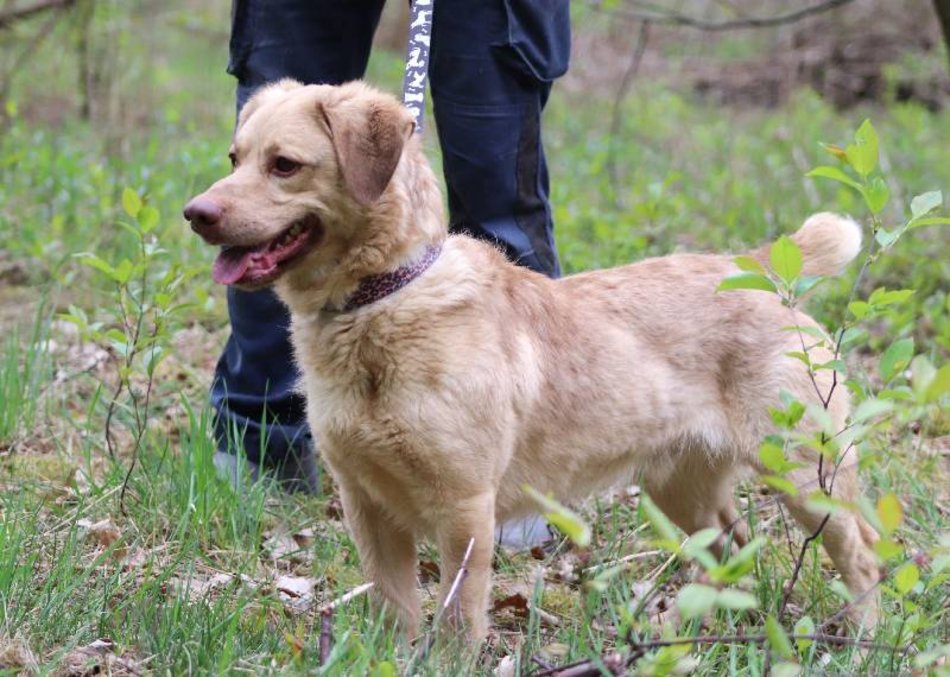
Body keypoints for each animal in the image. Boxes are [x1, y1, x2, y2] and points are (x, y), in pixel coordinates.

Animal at [188, 79, 884, 640]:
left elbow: (457, 620)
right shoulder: (366, 504)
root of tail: (763, 271)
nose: (196, 214)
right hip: (680, 489)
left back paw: (859, 638)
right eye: (234, 159)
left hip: (808, 479)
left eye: (284, 165)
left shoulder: (464, 509)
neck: (382, 301)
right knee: (732, 548)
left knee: (864, 557)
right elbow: (395, 611)